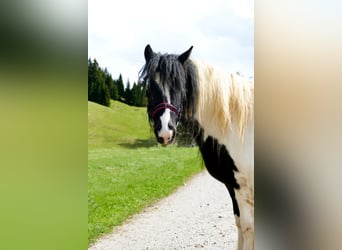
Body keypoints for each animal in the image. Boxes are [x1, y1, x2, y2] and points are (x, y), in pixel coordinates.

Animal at [139, 45, 254, 250]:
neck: (235, 124)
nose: (165, 130)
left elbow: (247, 227)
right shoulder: (232, 185)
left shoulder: (243, 187)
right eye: (150, 87)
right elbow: (239, 223)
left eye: (180, 86)